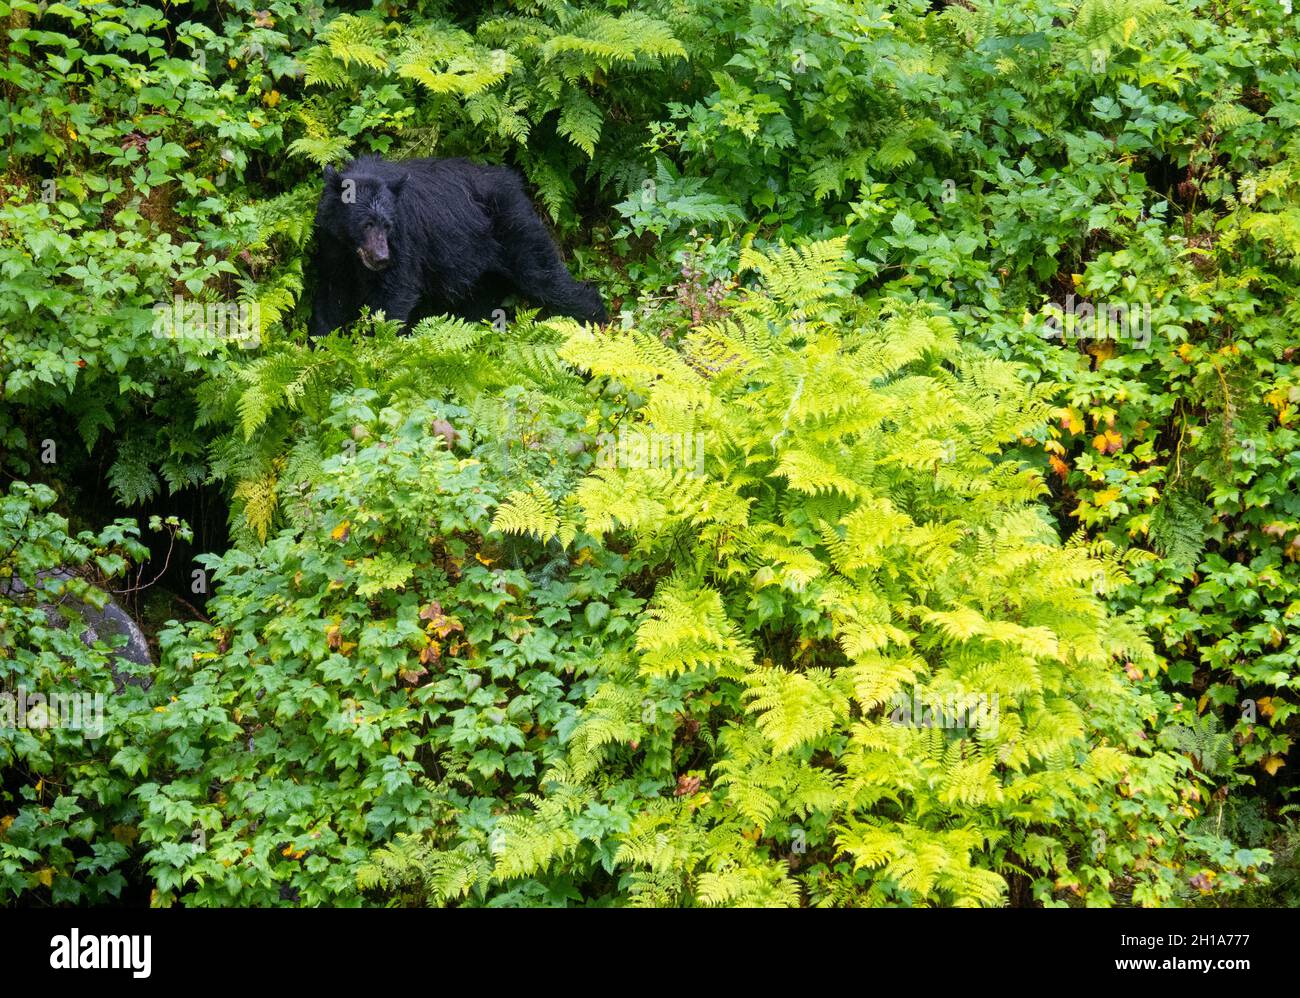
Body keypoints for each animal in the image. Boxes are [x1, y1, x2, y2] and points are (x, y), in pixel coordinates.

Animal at [306, 155, 605, 335]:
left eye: (387, 225)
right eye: (366, 224)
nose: (381, 258)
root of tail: (515, 183)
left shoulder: (404, 241)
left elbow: (396, 293)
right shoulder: (332, 245)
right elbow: (332, 294)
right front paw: (320, 342)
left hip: (517, 229)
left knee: (546, 277)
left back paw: (596, 325)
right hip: (480, 269)